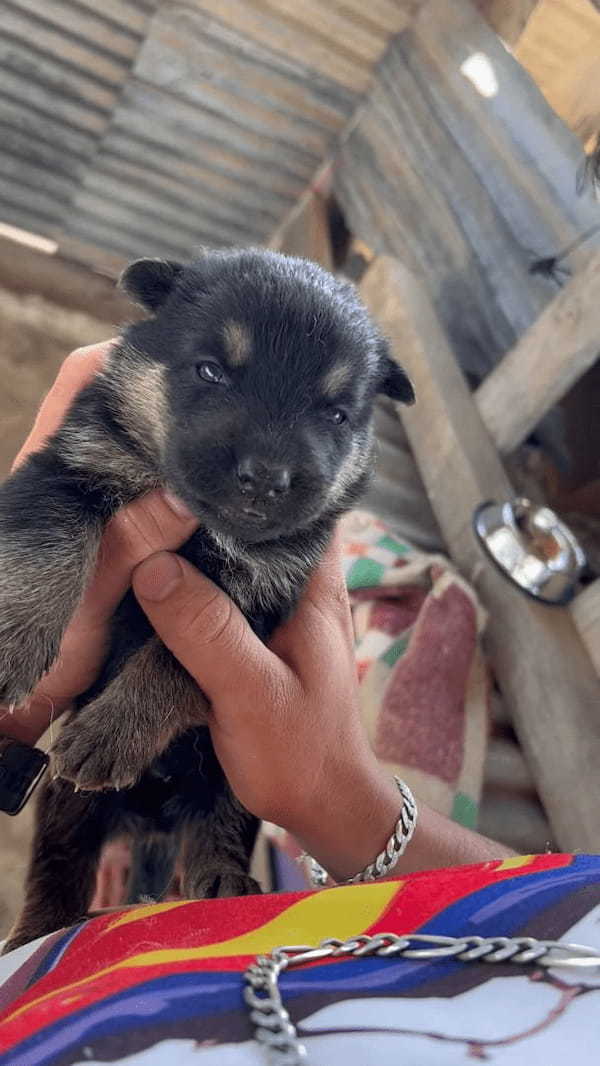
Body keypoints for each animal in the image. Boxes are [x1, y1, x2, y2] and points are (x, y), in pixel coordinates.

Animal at [0, 249, 413, 950]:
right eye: (211, 371)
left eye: (335, 414)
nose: (268, 477)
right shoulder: (72, 466)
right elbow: (47, 545)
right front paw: (11, 645)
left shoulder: (261, 597)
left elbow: (176, 661)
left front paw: (111, 732)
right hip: (65, 797)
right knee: (59, 861)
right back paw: (38, 931)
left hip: (235, 781)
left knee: (216, 827)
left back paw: (220, 879)